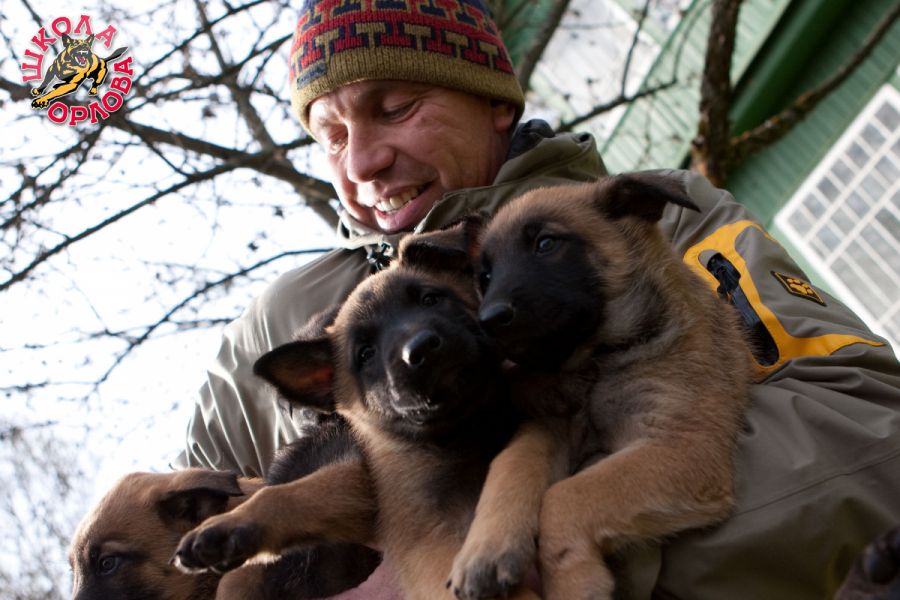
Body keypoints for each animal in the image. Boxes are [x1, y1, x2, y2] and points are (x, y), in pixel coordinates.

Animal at [448, 173, 754, 600]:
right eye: (485, 277)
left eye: (546, 244)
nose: (487, 321)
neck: (596, 361)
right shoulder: (549, 423)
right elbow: (510, 464)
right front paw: (484, 548)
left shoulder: (688, 445)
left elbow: (565, 497)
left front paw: (574, 582)